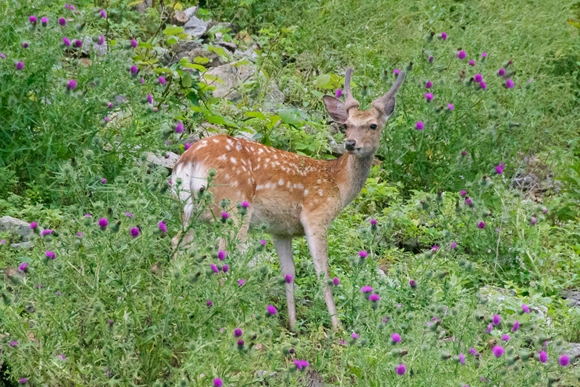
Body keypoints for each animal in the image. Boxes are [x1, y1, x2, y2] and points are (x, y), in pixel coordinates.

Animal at [172, 69, 406, 330]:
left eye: (373, 125)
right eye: (346, 125)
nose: (350, 143)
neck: (337, 184)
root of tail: (190, 158)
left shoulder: (281, 230)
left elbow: (288, 273)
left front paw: (293, 324)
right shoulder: (316, 216)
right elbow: (323, 273)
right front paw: (338, 327)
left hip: (190, 209)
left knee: (179, 242)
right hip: (233, 206)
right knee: (223, 255)